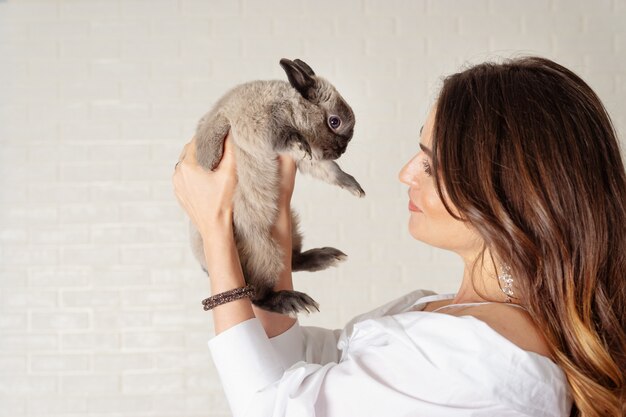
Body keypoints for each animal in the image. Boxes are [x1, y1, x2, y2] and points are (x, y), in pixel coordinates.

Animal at [190, 57, 366, 314]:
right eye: (335, 121)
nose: (341, 151)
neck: (289, 107)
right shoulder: (265, 130)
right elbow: (290, 139)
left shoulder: (308, 161)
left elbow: (330, 170)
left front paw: (355, 187)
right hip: (265, 252)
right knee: (257, 295)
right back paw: (292, 300)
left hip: (292, 229)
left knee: (294, 261)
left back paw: (326, 257)